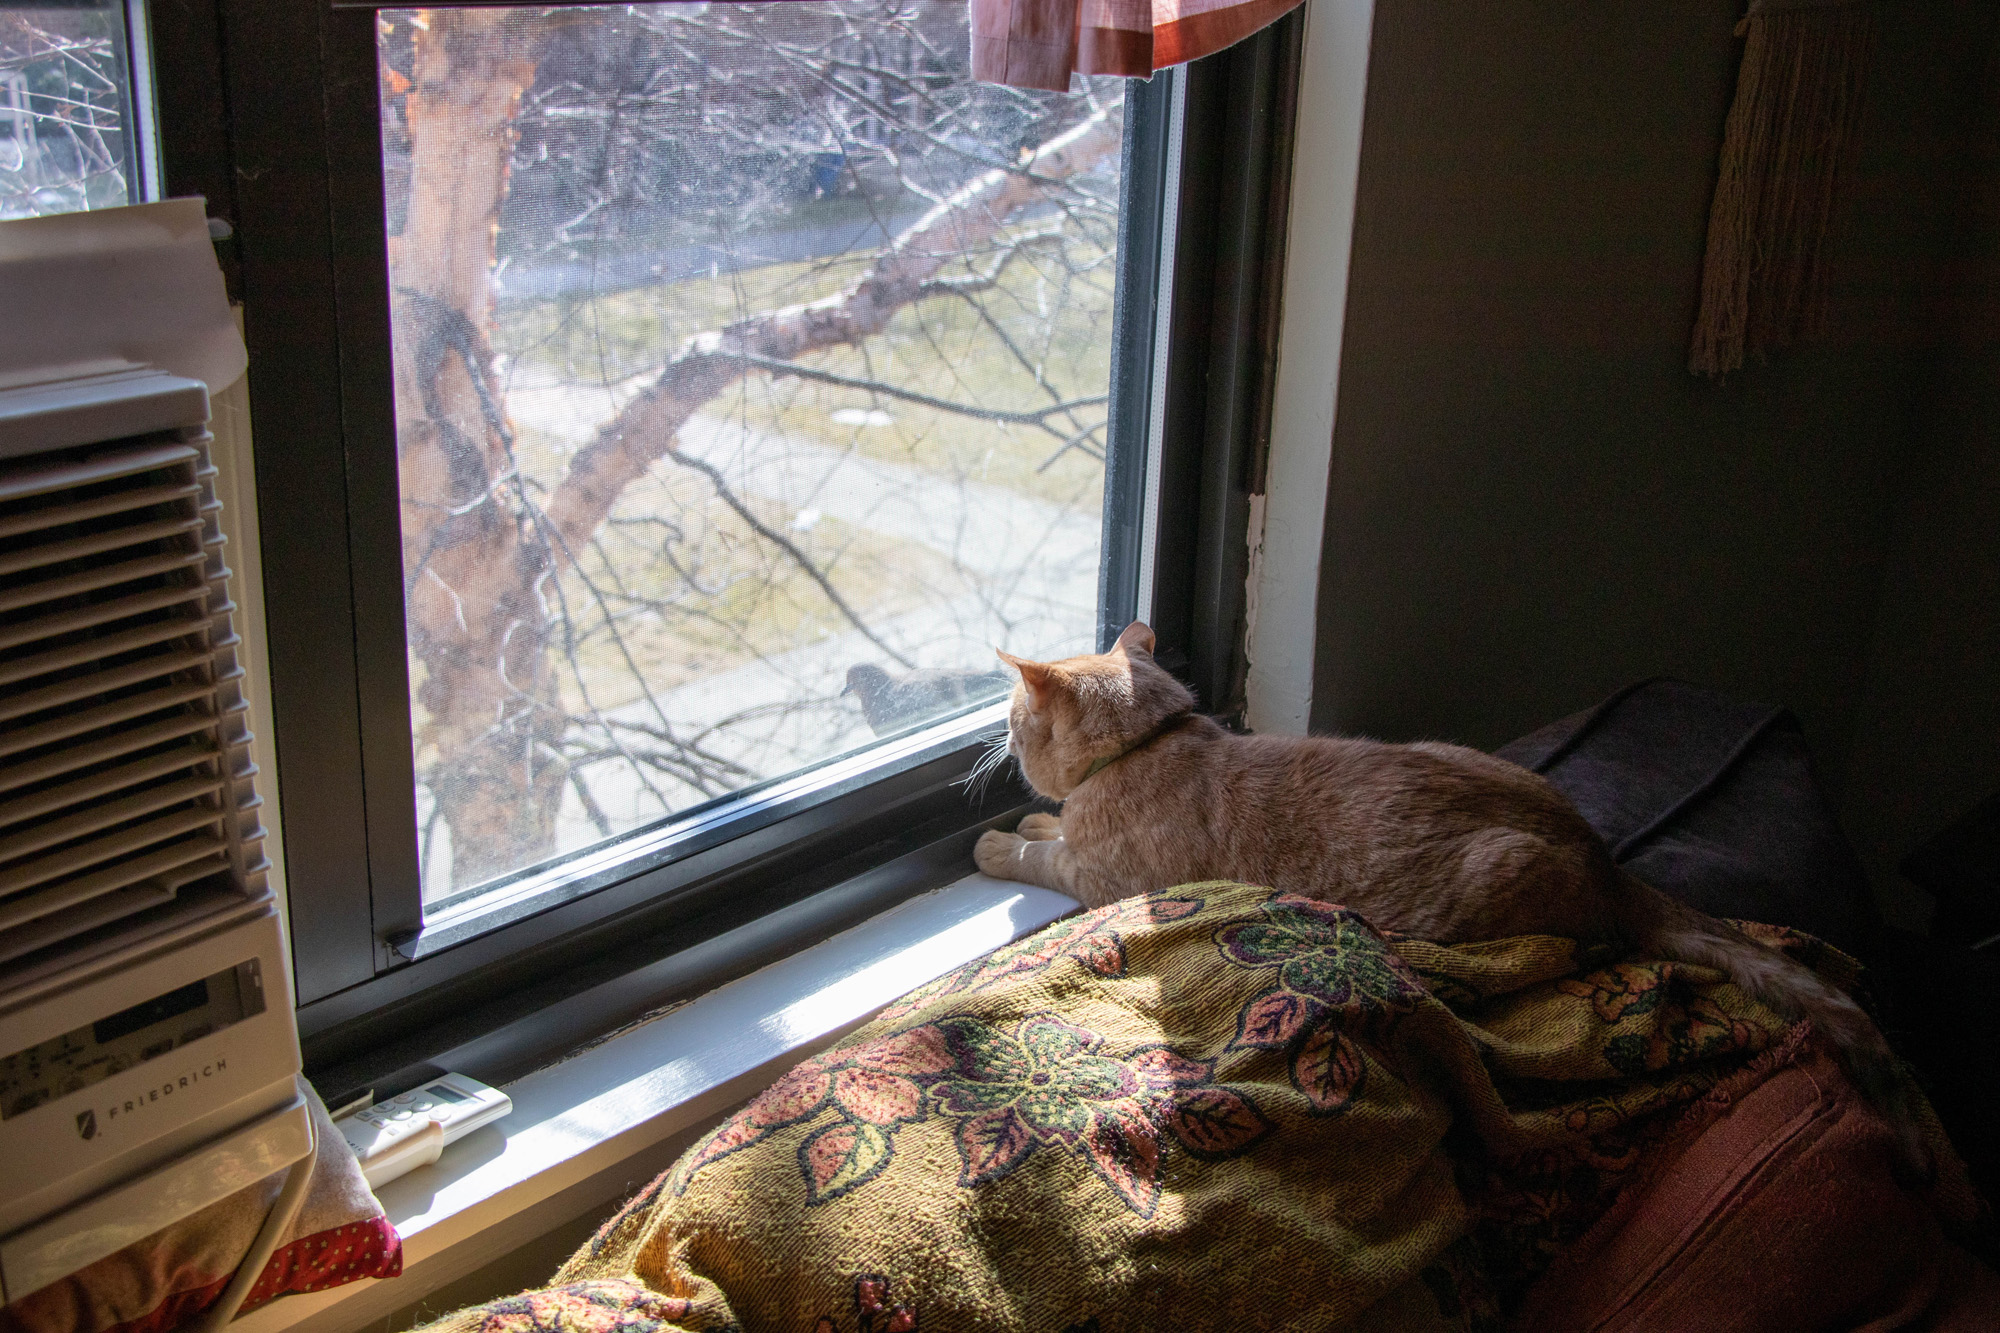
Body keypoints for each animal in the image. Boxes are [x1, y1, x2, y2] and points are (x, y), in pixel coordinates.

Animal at [973, 621, 1930, 1181]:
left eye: (1014, 721)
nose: (1001, 747)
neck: (1153, 747)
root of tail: (1604, 857)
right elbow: (1053, 827)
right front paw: (1036, 813)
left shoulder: (1107, 879)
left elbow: (1045, 855)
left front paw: (1003, 836)